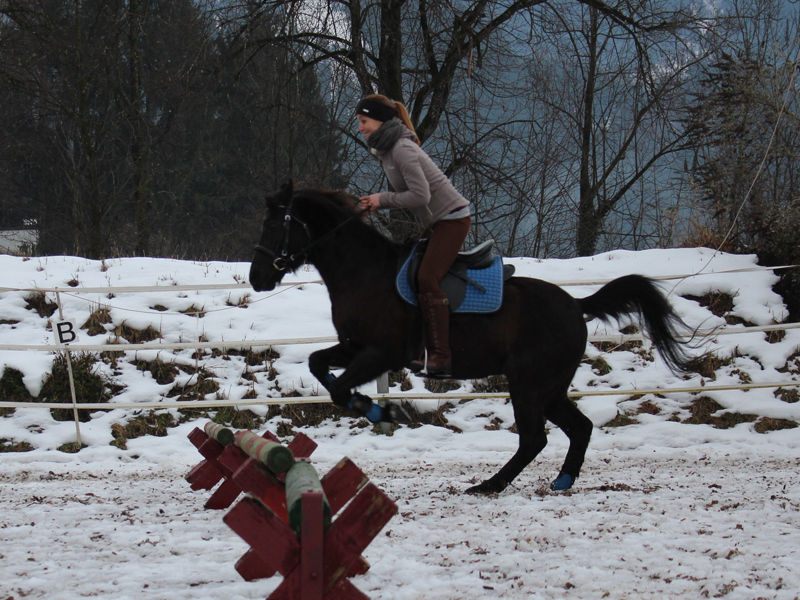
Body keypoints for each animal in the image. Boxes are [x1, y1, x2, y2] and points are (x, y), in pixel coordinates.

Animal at [250, 182, 692, 492]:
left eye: (274, 225)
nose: (257, 279)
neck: (363, 272)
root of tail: (575, 303)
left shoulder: (380, 353)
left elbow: (342, 389)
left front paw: (385, 411)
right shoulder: (354, 348)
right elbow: (319, 366)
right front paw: (372, 405)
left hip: (528, 383)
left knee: (534, 438)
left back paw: (489, 485)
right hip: (550, 387)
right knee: (578, 428)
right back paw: (562, 480)